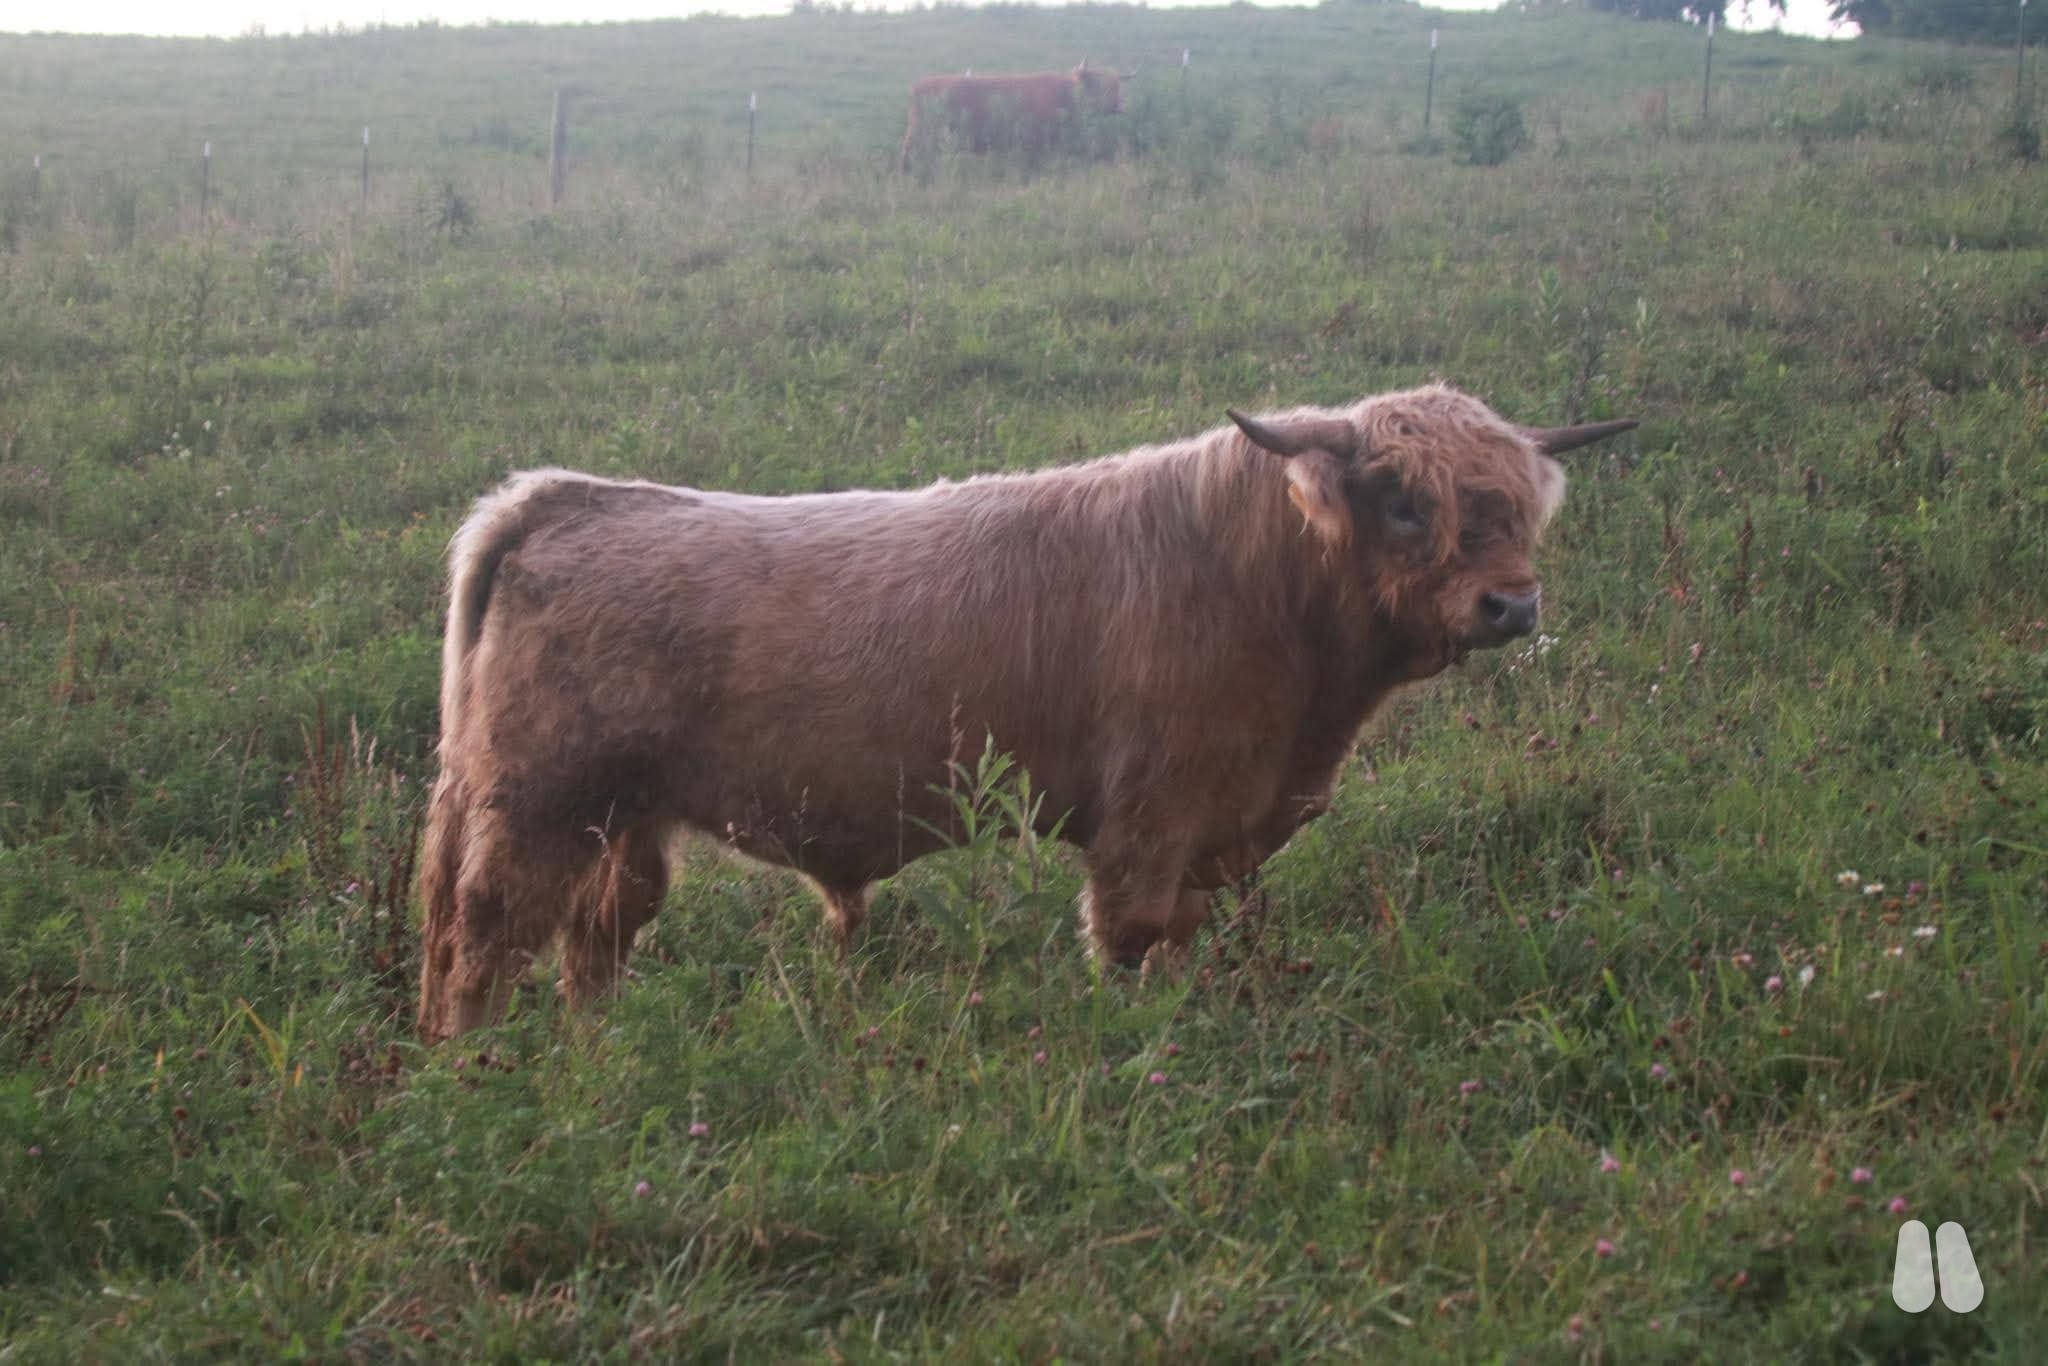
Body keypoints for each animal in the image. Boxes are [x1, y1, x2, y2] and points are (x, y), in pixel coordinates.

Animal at [416, 385, 1635, 1042]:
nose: (1510, 605)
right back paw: (475, 1074)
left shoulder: (1214, 825)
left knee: (594, 936)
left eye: (1515, 506)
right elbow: (1131, 938)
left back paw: (592, 1055)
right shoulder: (1152, 813)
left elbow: (1181, 939)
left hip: (618, 818)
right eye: (1404, 503)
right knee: (484, 935)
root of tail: (563, 498)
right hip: (535, 803)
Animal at [898, 61, 1129, 173]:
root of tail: (917, 85)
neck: (1064, 93)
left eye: (1117, 85)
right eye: (1099, 85)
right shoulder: (1038, 140)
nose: (1120, 105)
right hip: (919, 135)